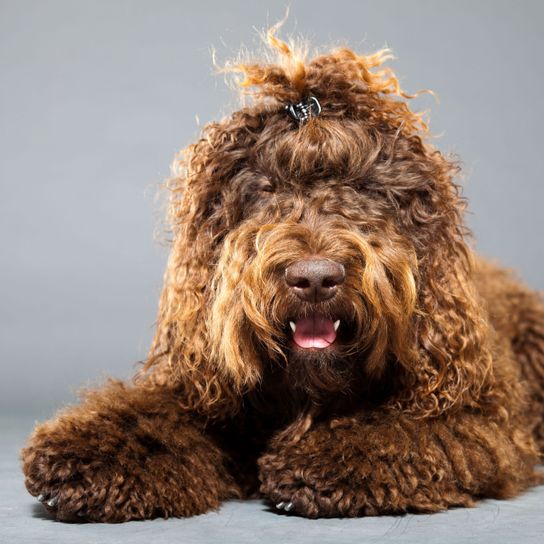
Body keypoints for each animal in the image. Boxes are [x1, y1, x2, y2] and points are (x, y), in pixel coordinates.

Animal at [21, 26, 544, 524]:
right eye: (268, 190)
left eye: (364, 189)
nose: (314, 278)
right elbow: (153, 419)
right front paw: (86, 452)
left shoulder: (478, 419)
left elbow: (416, 431)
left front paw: (319, 463)